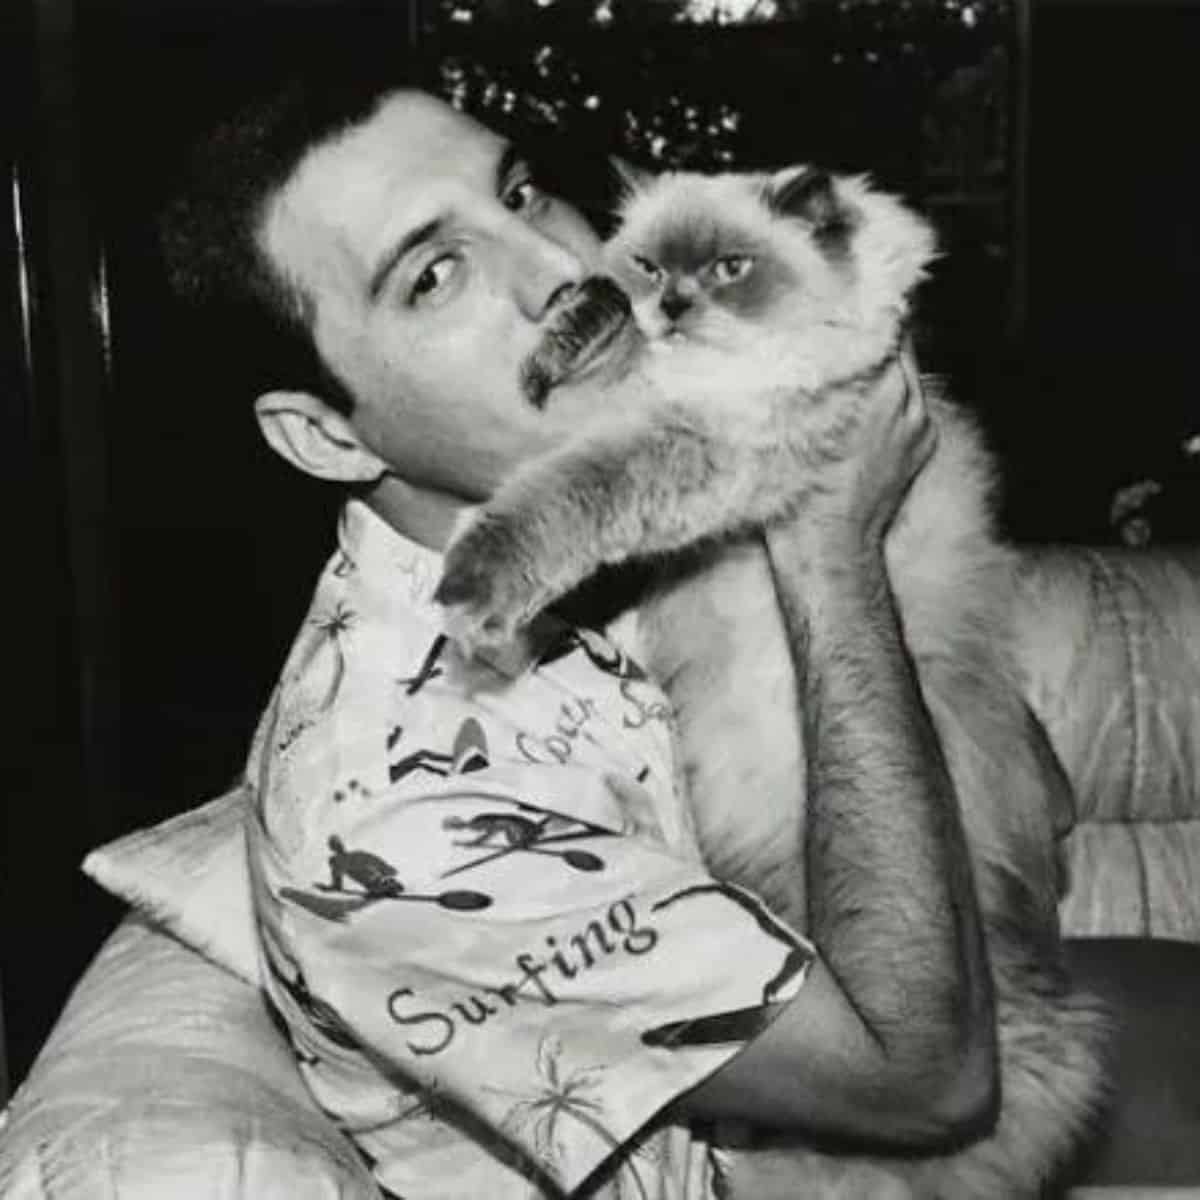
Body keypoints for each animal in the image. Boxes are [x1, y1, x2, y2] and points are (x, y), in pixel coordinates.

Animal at [436, 164, 1108, 1195]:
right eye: (652, 264)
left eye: (730, 269)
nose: (672, 304)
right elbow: (590, 367)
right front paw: (565, 339)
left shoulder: (713, 446)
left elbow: (570, 492)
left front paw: (474, 583)